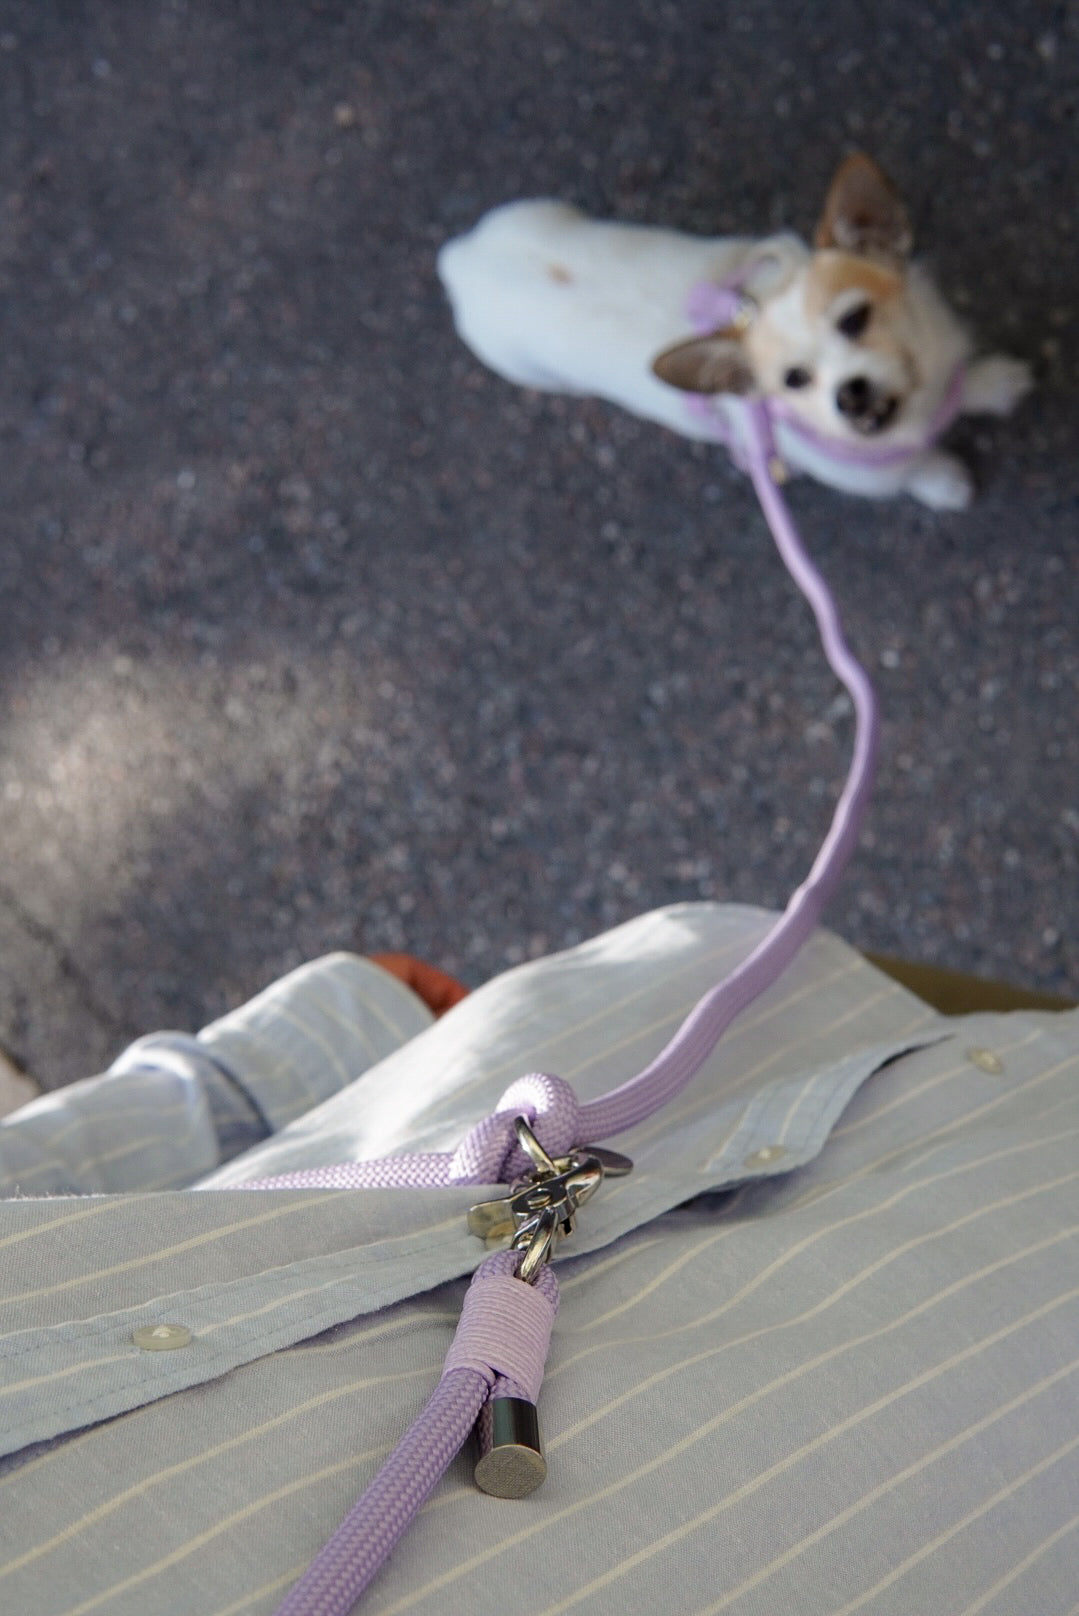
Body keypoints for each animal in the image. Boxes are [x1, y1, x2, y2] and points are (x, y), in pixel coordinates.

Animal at [436, 152, 1027, 504]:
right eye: (793, 381)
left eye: (855, 318)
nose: (850, 394)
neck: (919, 413)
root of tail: (460, 258)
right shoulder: (871, 475)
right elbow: (915, 472)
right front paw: (943, 481)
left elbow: (969, 381)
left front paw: (994, 381)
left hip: (542, 213)